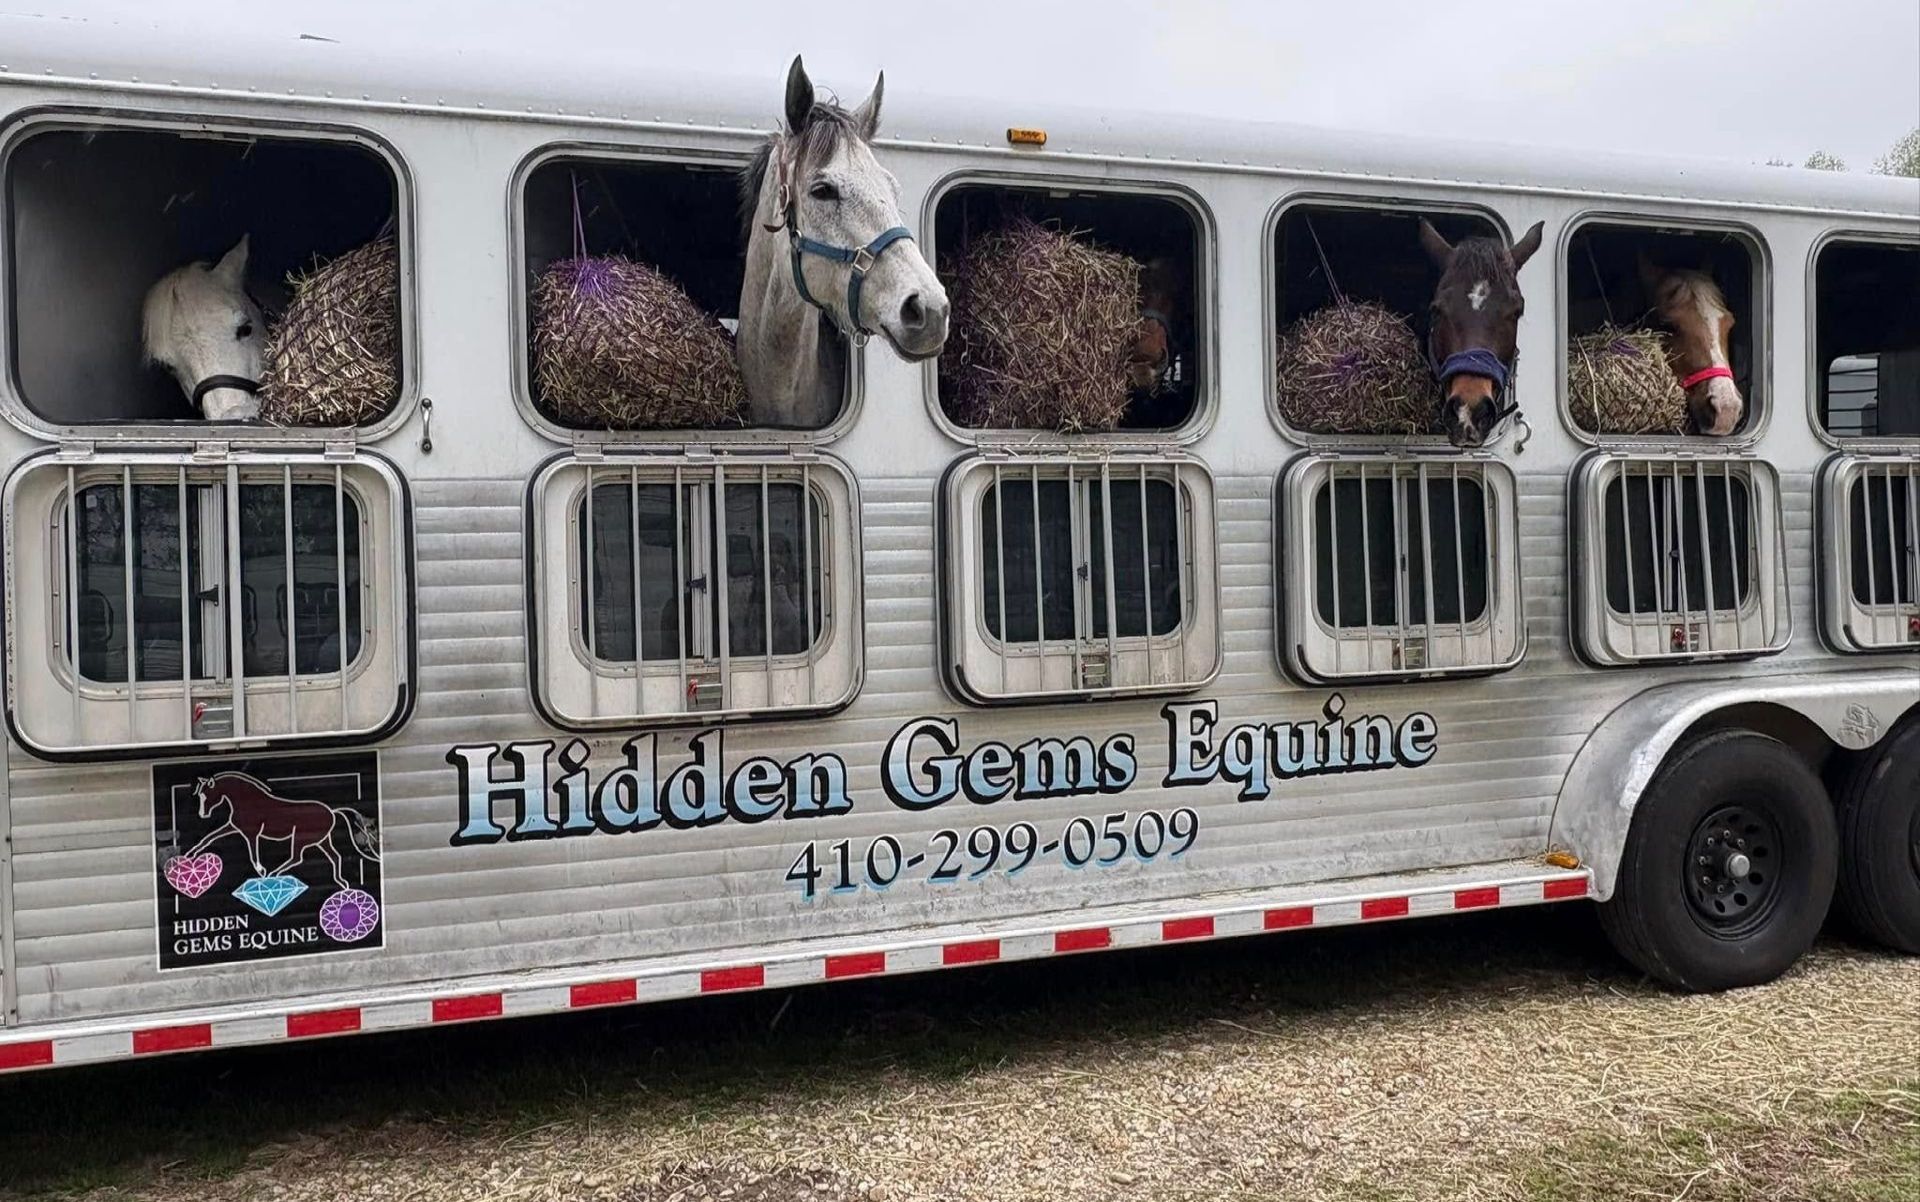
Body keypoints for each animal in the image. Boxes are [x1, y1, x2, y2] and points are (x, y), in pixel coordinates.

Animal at [186, 771, 380, 890]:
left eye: (206, 795)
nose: (202, 814)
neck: (247, 801)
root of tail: (332, 812)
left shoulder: (251, 834)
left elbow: (253, 855)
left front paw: (262, 871)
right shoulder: (233, 827)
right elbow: (209, 837)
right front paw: (190, 855)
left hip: (301, 839)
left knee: (297, 858)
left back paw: (273, 874)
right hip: (321, 840)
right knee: (334, 856)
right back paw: (342, 883)